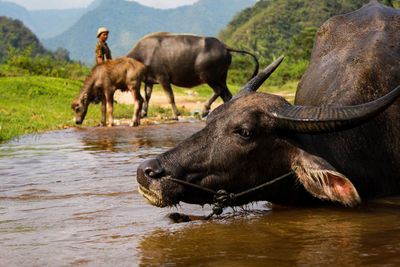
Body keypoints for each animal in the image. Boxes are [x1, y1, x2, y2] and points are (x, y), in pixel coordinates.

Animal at [126, 31, 260, 119]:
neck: (144, 55)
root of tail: (224, 46)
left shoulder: (163, 78)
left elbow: (170, 97)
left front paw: (175, 114)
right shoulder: (149, 81)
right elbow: (147, 96)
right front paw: (143, 113)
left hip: (209, 76)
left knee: (218, 90)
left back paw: (205, 110)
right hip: (221, 76)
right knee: (226, 94)